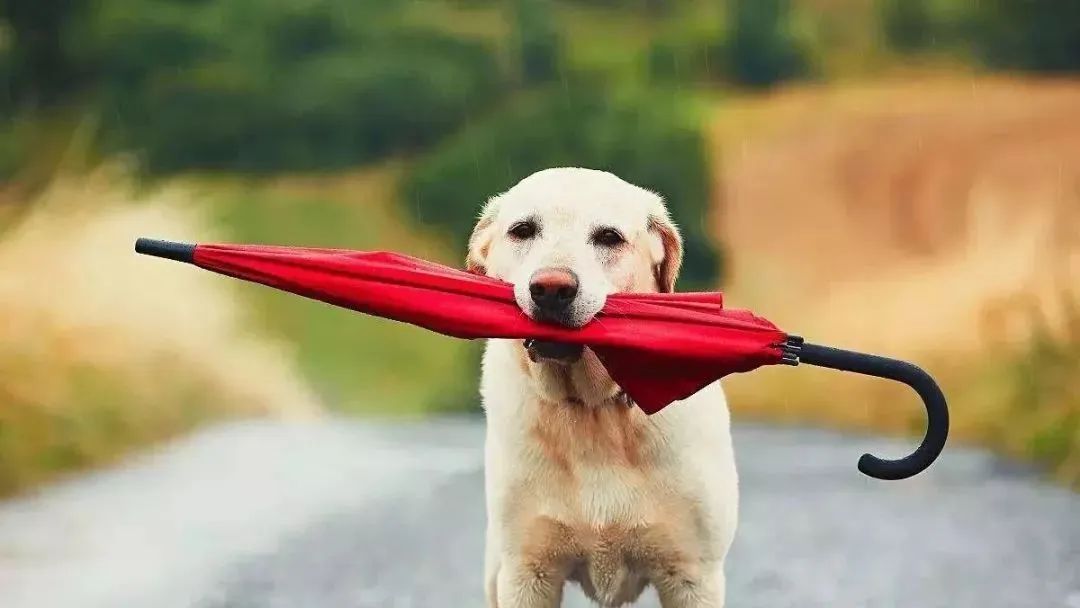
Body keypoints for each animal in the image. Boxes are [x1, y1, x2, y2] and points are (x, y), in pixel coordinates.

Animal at [468, 167, 738, 608]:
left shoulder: (692, 576)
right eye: (522, 230)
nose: (552, 288)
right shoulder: (527, 572)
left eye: (609, 237)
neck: (590, 408)